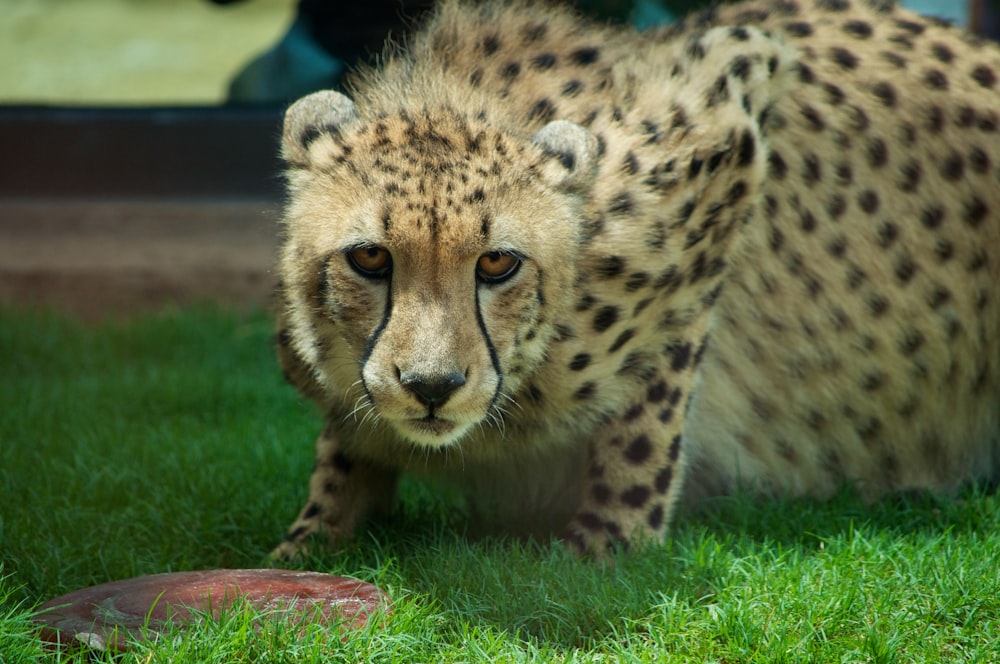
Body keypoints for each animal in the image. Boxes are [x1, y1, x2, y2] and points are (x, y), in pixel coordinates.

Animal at [270, 0, 996, 560]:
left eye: (498, 263)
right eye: (369, 258)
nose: (431, 387)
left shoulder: (726, 127)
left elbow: (650, 401)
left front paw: (609, 540)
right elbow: (342, 444)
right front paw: (315, 532)